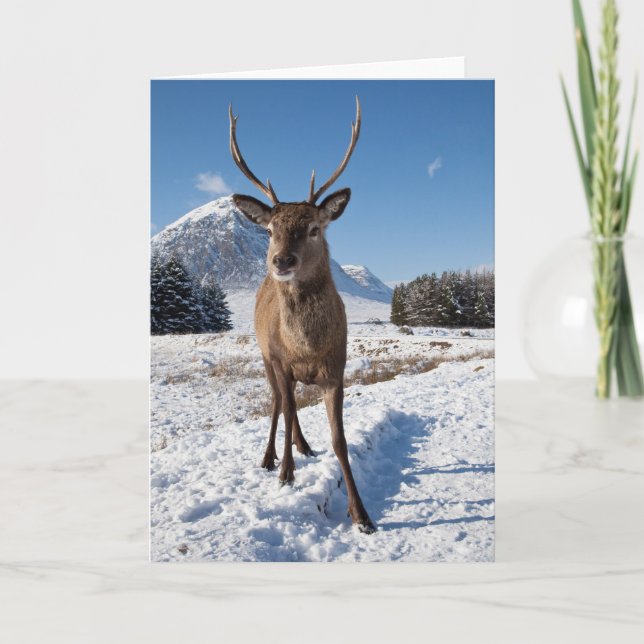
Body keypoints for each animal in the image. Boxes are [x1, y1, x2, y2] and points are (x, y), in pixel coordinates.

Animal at [229, 97, 376, 534]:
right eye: (270, 230)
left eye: (313, 228)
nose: (281, 261)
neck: (307, 348)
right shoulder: (279, 358)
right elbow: (287, 406)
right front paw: (285, 473)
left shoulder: (337, 369)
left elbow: (340, 441)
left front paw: (361, 515)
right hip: (264, 357)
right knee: (279, 402)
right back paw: (272, 457)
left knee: (289, 406)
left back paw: (302, 446)